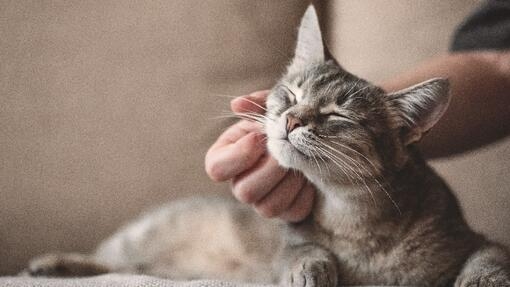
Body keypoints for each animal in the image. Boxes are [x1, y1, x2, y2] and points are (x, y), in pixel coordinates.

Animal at [23, 4, 510, 287]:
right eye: (291, 95)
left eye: (336, 116)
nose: (291, 119)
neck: (355, 224)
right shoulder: (286, 236)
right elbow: (298, 247)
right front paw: (310, 266)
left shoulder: (475, 240)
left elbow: (489, 259)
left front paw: (480, 280)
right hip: (139, 238)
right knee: (109, 259)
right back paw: (55, 263)